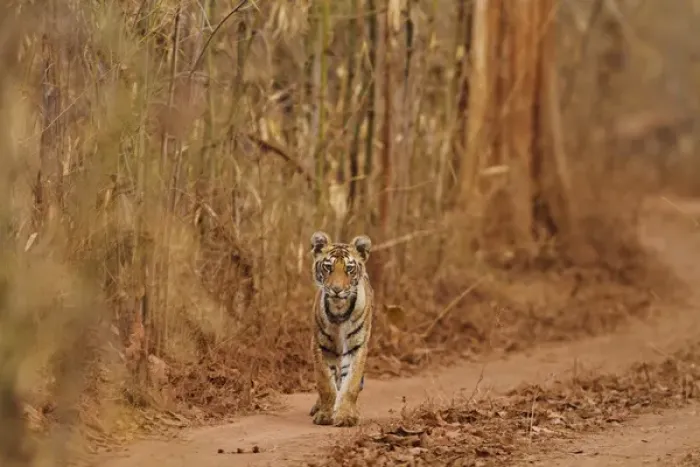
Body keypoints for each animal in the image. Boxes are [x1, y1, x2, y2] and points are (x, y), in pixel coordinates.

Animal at [307, 231, 374, 427]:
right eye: (328, 267)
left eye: (349, 269)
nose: (336, 290)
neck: (339, 312)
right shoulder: (320, 346)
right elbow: (325, 384)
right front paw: (325, 415)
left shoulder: (357, 347)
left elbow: (350, 384)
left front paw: (345, 416)